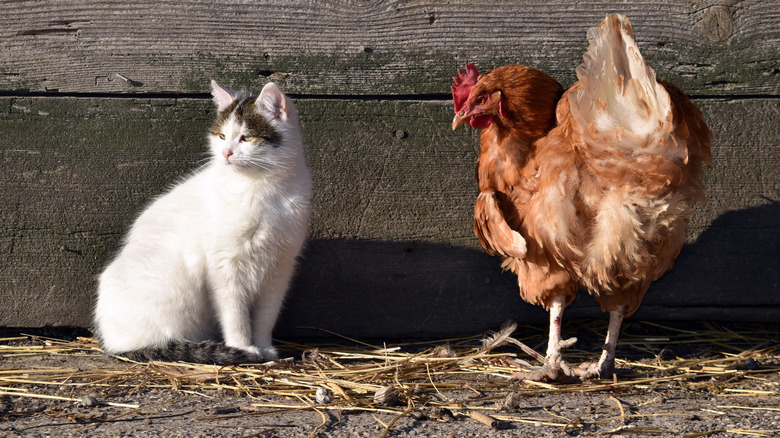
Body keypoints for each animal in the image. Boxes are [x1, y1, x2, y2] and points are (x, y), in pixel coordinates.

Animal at [93, 80, 310, 364]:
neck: (261, 188)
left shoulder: (279, 268)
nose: (226, 153)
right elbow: (235, 314)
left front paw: (265, 348)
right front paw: (243, 347)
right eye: (221, 137)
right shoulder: (226, 266)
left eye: (247, 137)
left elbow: (266, 317)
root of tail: (109, 342)